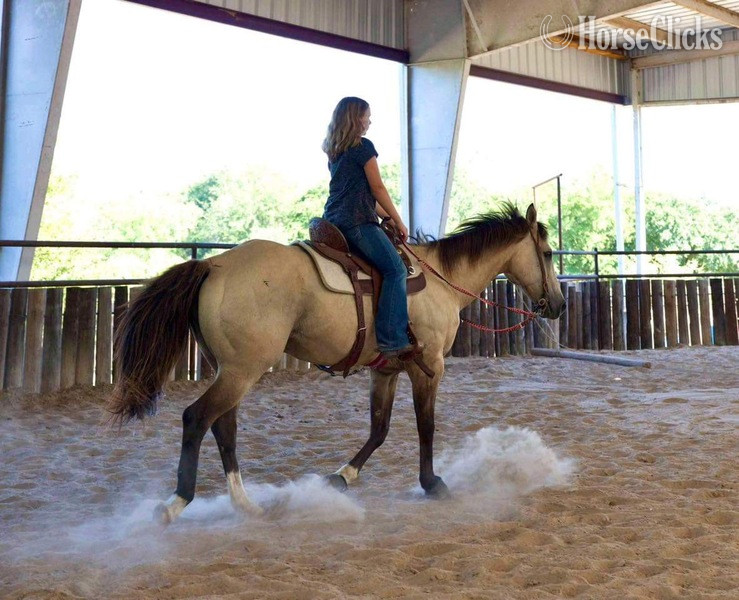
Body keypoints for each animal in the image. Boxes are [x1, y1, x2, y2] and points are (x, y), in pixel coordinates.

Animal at [111, 202, 566, 524]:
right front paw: (433, 483)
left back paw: (247, 505)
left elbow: (379, 429)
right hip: (242, 371)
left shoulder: (385, 370)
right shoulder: (428, 366)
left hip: (232, 370)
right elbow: (426, 426)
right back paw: (175, 503)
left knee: (223, 427)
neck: (440, 279)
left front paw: (341, 477)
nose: (558, 305)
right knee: (196, 418)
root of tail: (212, 264)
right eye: (546, 252)